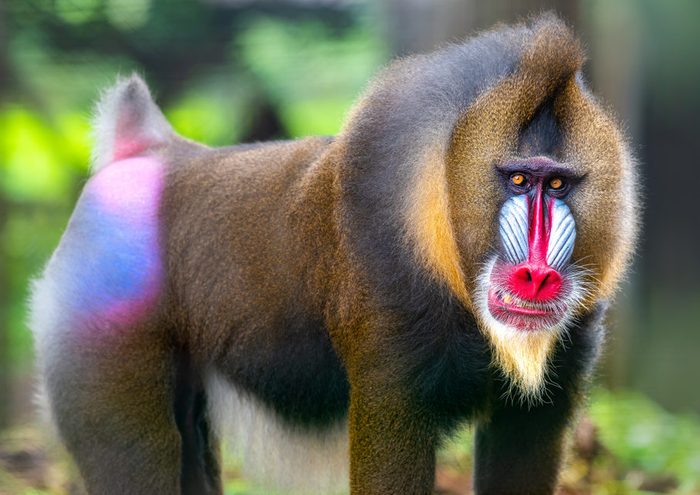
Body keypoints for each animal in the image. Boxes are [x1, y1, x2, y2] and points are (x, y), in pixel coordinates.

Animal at [29, 13, 638, 495]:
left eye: (556, 185)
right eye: (516, 179)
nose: (536, 275)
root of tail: (143, 152)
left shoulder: (547, 395)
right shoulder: (390, 375)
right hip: (102, 349)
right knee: (136, 451)